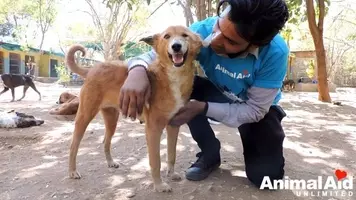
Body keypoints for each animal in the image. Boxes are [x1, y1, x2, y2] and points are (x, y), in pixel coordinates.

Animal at [66, 25, 206, 192]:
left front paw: (171, 174)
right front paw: (159, 185)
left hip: (112, 120)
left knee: (106, 141)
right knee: (73, 145)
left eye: (185, 35)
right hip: (85, 115)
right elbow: (156, 161)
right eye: (167, 36)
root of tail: (92, 68)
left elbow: (172, 154)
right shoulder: (153, 129)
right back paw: (72, 171)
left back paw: (110, 162)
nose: (176, 46)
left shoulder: (173, 125)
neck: (173, 76)